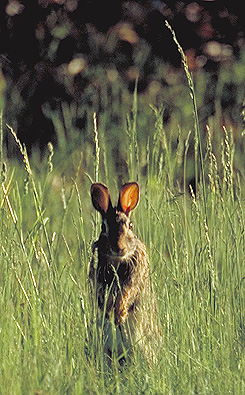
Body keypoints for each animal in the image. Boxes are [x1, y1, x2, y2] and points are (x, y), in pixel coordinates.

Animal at [90, 183, 161, 366]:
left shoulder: (133, 280)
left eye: (130, 225)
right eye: (103, 227)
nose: (118, 247)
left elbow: (126, 294)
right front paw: (110, 314)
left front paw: (119, 315)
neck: (117, 260)